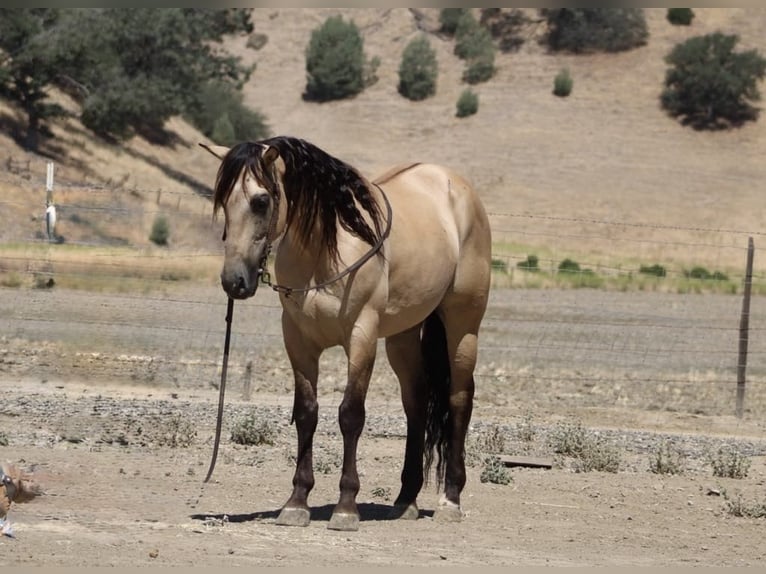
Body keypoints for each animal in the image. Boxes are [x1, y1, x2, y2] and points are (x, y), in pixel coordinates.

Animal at [201, 136, 491, 531]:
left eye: (261, 200)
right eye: (222, 200)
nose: (234, 281)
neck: (326, 250)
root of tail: (457, 187)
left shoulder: (361, 337)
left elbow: (351, 414)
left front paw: (345, 506)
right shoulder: (298, 341)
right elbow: (306, 413)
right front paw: (296, 502)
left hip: (463, 326)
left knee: (459, 399)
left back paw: (451, 500)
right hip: (403, 336)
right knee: (415, 402)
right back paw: (405, 499)